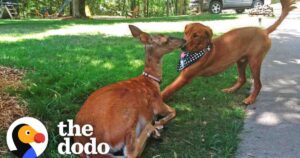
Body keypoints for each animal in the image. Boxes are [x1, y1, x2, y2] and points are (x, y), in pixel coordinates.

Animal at [74, 25, 185, 157]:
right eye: (165, 39)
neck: (152, 81)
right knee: (130, 152)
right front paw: (159, 123)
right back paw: (153, 129)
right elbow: (174, 110)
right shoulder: (158, 104)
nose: (184, 40)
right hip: (129, 117)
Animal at [162, 0, 296, 105]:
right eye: (186, 33)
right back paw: (231, 90)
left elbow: (167, 90)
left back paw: (250, 99)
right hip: (241, 61)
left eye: (196, 35)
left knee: (258, 84)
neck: (200, 51)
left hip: (254, 62)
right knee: (242, 79)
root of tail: (264, 31)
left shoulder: (185, 77)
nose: (182, 46)